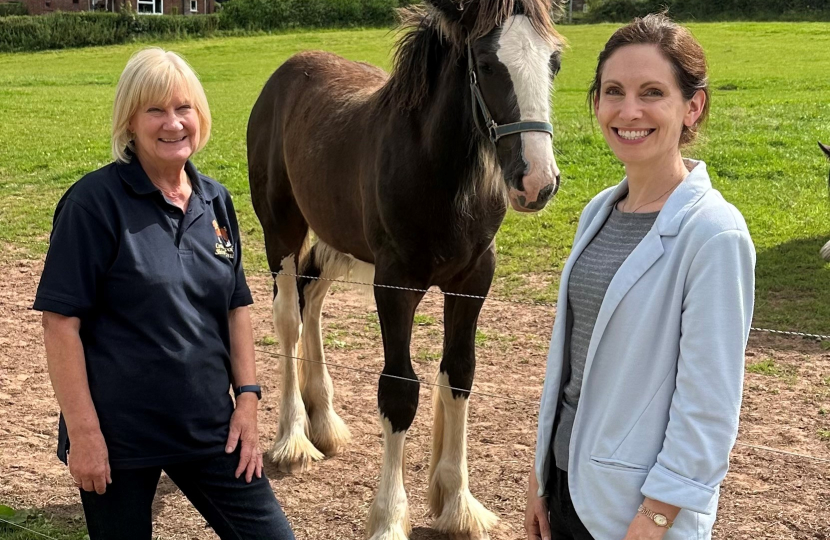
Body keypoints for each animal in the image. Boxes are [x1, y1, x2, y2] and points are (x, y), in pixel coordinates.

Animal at [249, 2, 564, 536]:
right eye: (486, 63)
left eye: (554, 62)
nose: (537, 182)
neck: (438, 172)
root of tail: (284, 73)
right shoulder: (395, 284)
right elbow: (400, 391)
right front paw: (389, 516)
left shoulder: (472, 282)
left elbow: (459, 375)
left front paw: (458, 503)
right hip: (282, 232)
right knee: (289, 316)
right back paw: (293, 437)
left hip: (339, 240)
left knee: (312, 299)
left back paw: (323, 420)